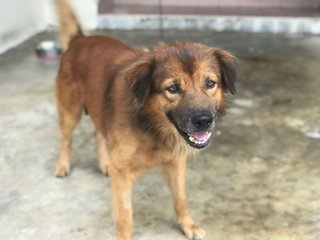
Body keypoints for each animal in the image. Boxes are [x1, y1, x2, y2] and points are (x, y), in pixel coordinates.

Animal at [53, 0, 236, 239]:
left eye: (210, 83)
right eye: (172, 88)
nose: (204, 121)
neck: (152, 126)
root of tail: (80, 39)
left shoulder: (176, 162)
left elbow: (181, 198)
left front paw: (188, 224)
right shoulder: (122, 176)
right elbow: (125, 218)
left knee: (99, 133)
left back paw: (104, 163)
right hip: (70, 112)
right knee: (67, 139)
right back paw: (63, 165)